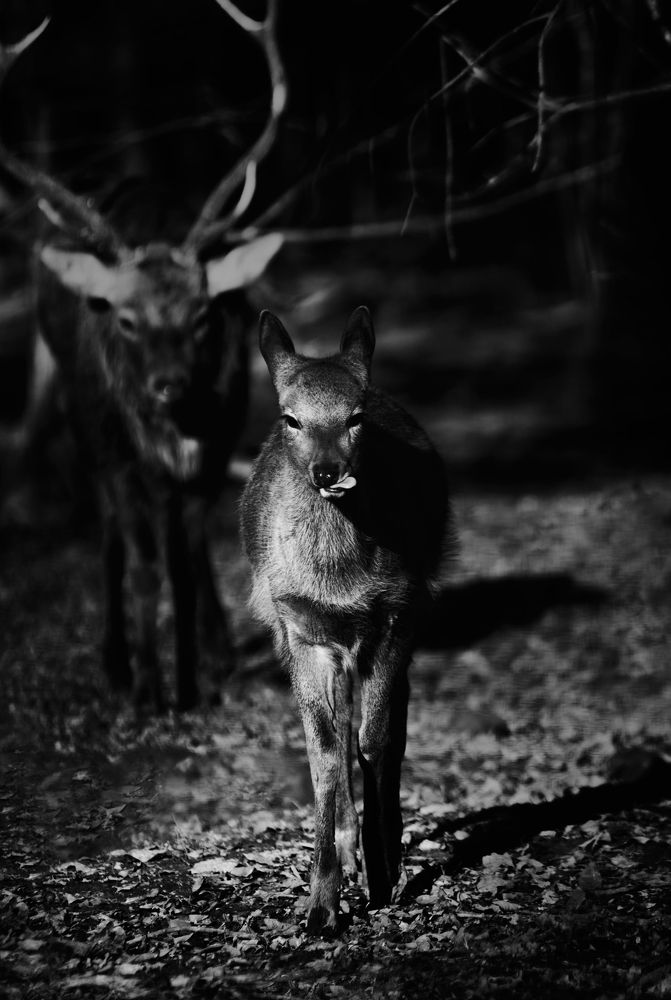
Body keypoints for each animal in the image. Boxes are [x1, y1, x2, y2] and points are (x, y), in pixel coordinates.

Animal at [0, 3, 286, 711]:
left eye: (205, 315)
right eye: (125, 320)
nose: (169, 385)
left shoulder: (217, 440)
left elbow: (186, 555)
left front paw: (196, 678)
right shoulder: (115, 448)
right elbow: (146, 562)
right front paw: (153, 688)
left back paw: (216, 649)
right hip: (79, 416)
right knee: (107, 531)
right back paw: (115, 662)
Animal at [241, 306, 450, 933]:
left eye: (355, 416)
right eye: (291, 416)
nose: (328, 471)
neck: (338, 582)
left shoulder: (397, 614)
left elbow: (373, 740)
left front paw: (383, 879)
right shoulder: (300, 630)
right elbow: (325, 751)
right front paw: (322, 903)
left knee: (394, 727)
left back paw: (385, 853)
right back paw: (352, 854)